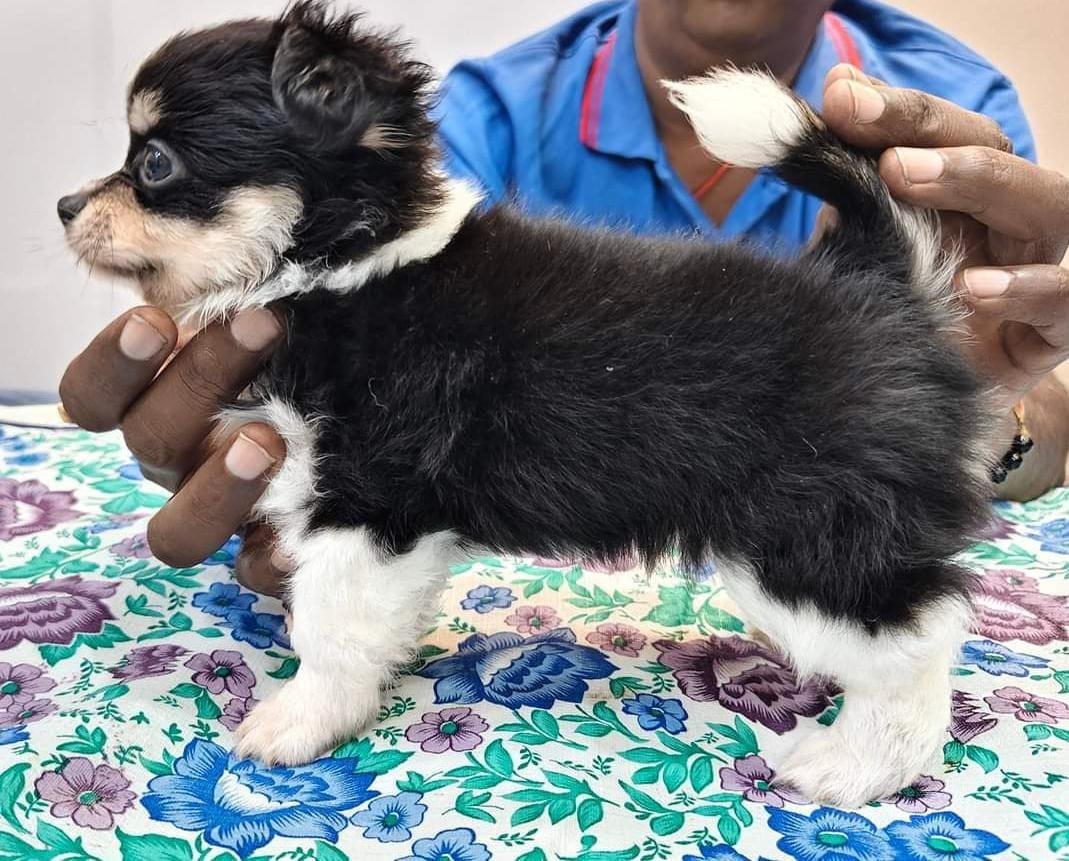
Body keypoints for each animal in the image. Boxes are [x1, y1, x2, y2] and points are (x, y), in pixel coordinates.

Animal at [60, 1, 992, 804]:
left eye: (155, 165)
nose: (66, 203)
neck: (349, 261)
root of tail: (876, 283)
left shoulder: (362, 498)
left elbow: (327, 625)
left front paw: (299, 720)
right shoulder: (398, 523)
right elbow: (378, 615)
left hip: (803, 532)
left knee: (916, 638)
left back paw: (858, 764)